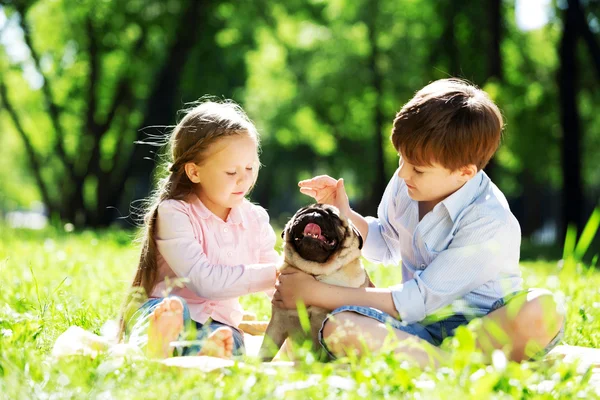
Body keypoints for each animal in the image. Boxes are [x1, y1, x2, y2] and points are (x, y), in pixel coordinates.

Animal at [258, 205, 368, 360]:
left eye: (334, 216)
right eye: (301, 213)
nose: (315, 213)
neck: (314, 272)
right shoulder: (277, 323)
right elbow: (265, 350)